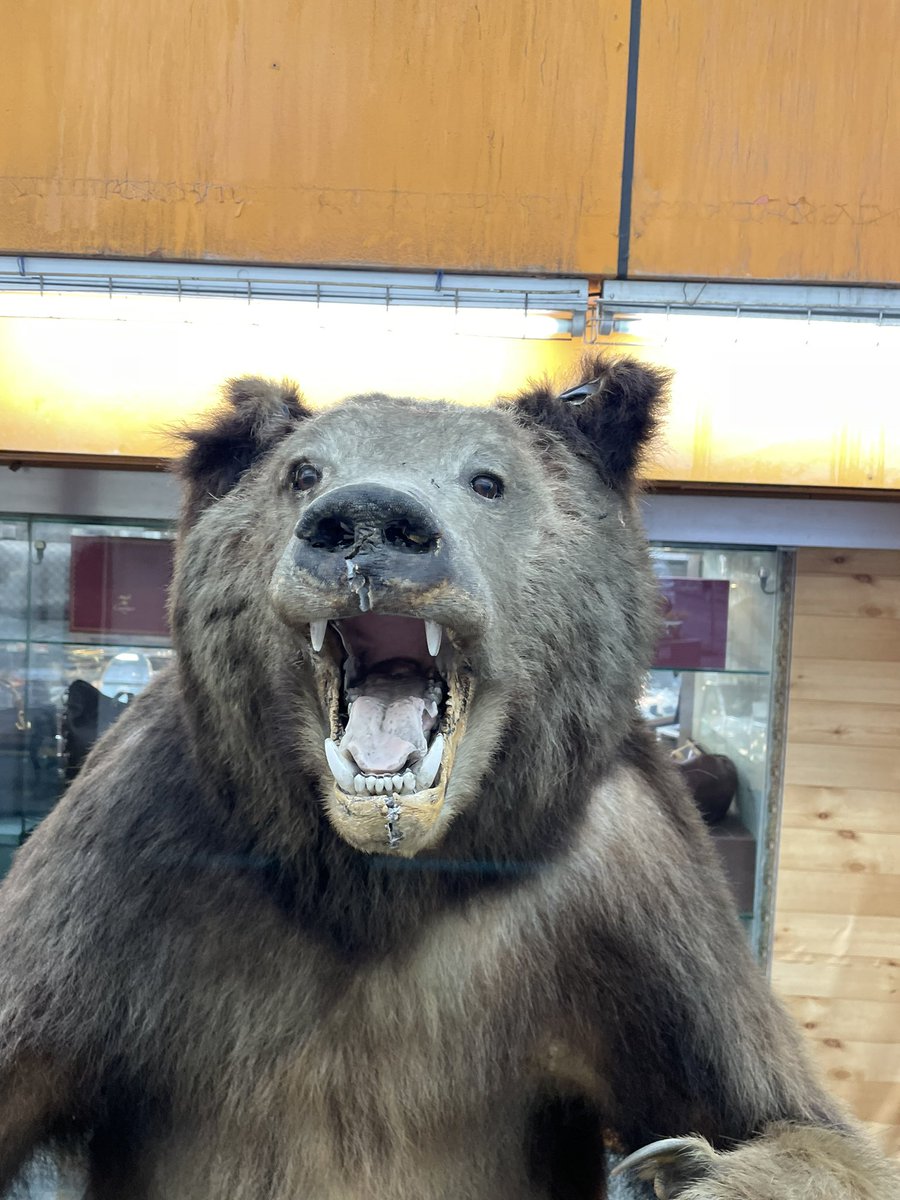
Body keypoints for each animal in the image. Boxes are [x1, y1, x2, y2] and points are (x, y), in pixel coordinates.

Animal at [0, 357, 896, 1199]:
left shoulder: (636, 890)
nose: (367, 522)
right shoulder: (123, 866)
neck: (381, 882)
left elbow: (787, 1117)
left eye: (488, 480)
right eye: (302, 472)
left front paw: (684, 1165)